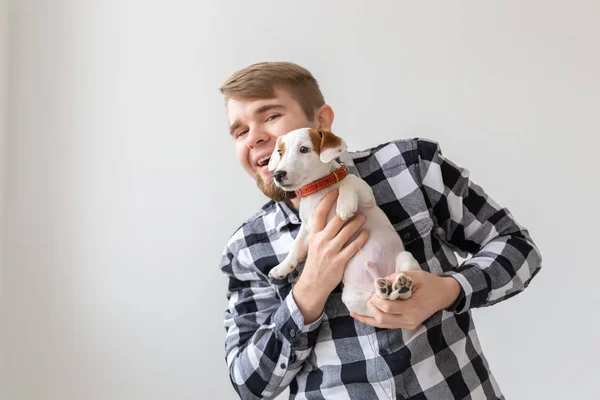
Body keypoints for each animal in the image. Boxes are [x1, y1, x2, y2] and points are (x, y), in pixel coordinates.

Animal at [264, 126, 420, 318]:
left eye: (304, 149)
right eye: (280, 152)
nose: (278, 174)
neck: (319, 187)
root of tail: (379, 277)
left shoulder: (366, 196)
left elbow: (349, 180)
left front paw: (344, 206)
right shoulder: (309, 228)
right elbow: (296, 246)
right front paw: (282, 267)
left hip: (405, 259)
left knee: (403, 296)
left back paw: (401, 287)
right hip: (352, 298)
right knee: (375, 304)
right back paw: (385, 290)